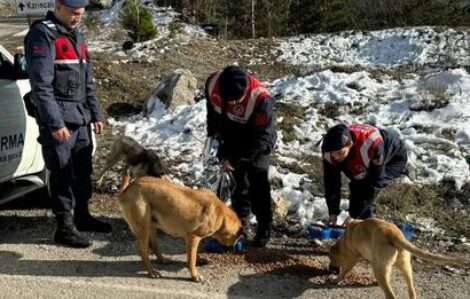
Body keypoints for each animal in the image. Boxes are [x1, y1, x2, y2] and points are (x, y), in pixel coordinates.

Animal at [328, 218, 464, 299]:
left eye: (331, 259)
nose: (329, 269)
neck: (344, 241)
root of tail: (395, 235)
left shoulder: (353, 258)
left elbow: (344, 271)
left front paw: (336, 279)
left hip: (378, 269)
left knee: (390, 295)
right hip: (406, 268)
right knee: (411, 290)